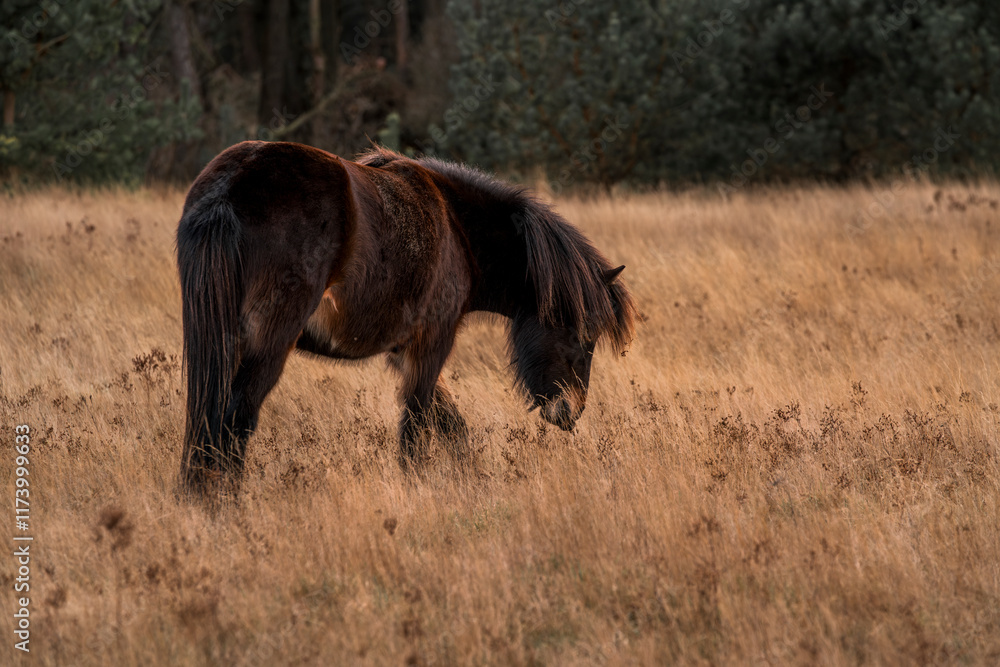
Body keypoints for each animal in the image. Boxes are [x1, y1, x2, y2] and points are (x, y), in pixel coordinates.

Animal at [176, 141, 636, 493]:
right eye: (584, 335)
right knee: (236, 418)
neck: (456, 227)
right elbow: (417, 426)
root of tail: (232, 187)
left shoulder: (401, 353)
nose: (570, 412)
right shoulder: (431, 343)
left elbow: (450, 423)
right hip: (269, 344)